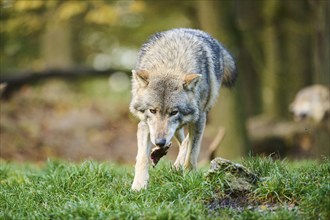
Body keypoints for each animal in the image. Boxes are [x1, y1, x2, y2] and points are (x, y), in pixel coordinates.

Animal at [130, 28, 237, 191]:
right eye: (152, 111)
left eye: (173, 112)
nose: (159, 142)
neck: (170, 62)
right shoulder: (144, 123)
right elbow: (142, 157)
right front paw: (139, 186)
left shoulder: (199, 118)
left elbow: (192, 152)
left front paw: (189, 175)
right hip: (177, 128)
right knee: (181, 140)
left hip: (202, 113)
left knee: (187, 141)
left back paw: (175, 163)